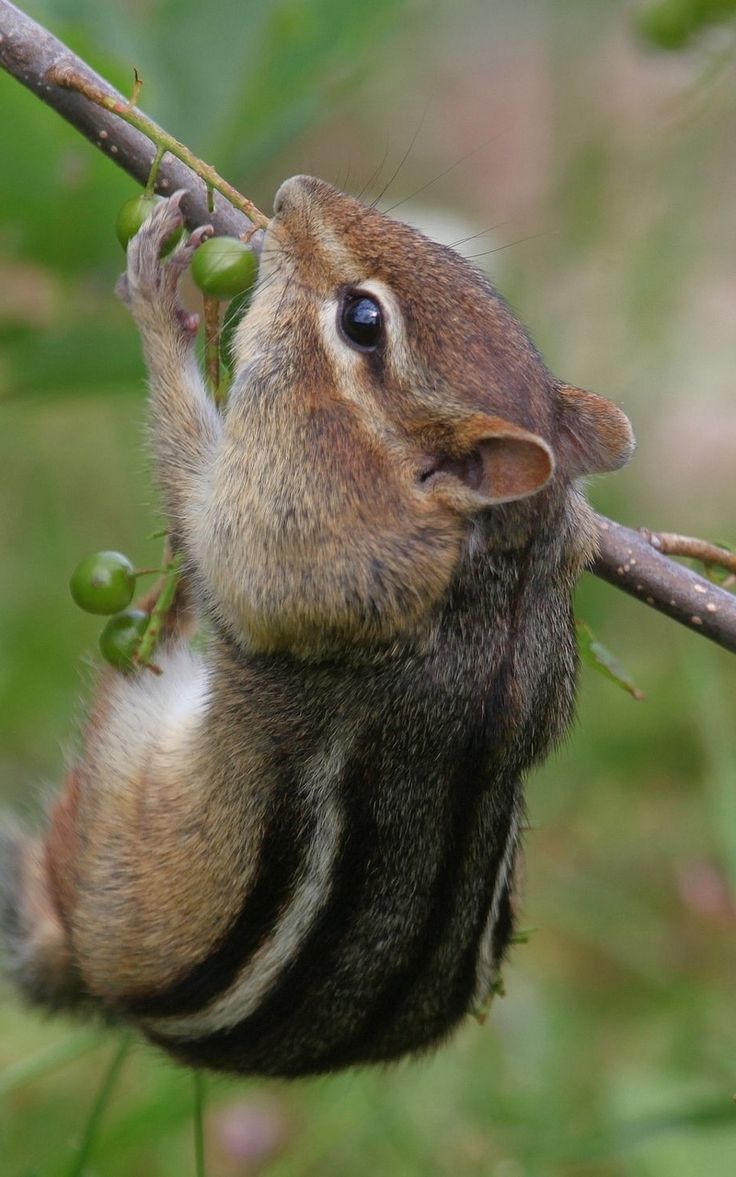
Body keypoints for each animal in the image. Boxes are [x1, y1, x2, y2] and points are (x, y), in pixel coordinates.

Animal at [0, 177, 633, 1078]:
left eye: (362, 320)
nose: (298, 192)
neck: (497, 560)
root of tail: (97, 982)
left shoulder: (294, 541)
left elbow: (203, 512)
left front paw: (159, 303)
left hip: (117, 799)